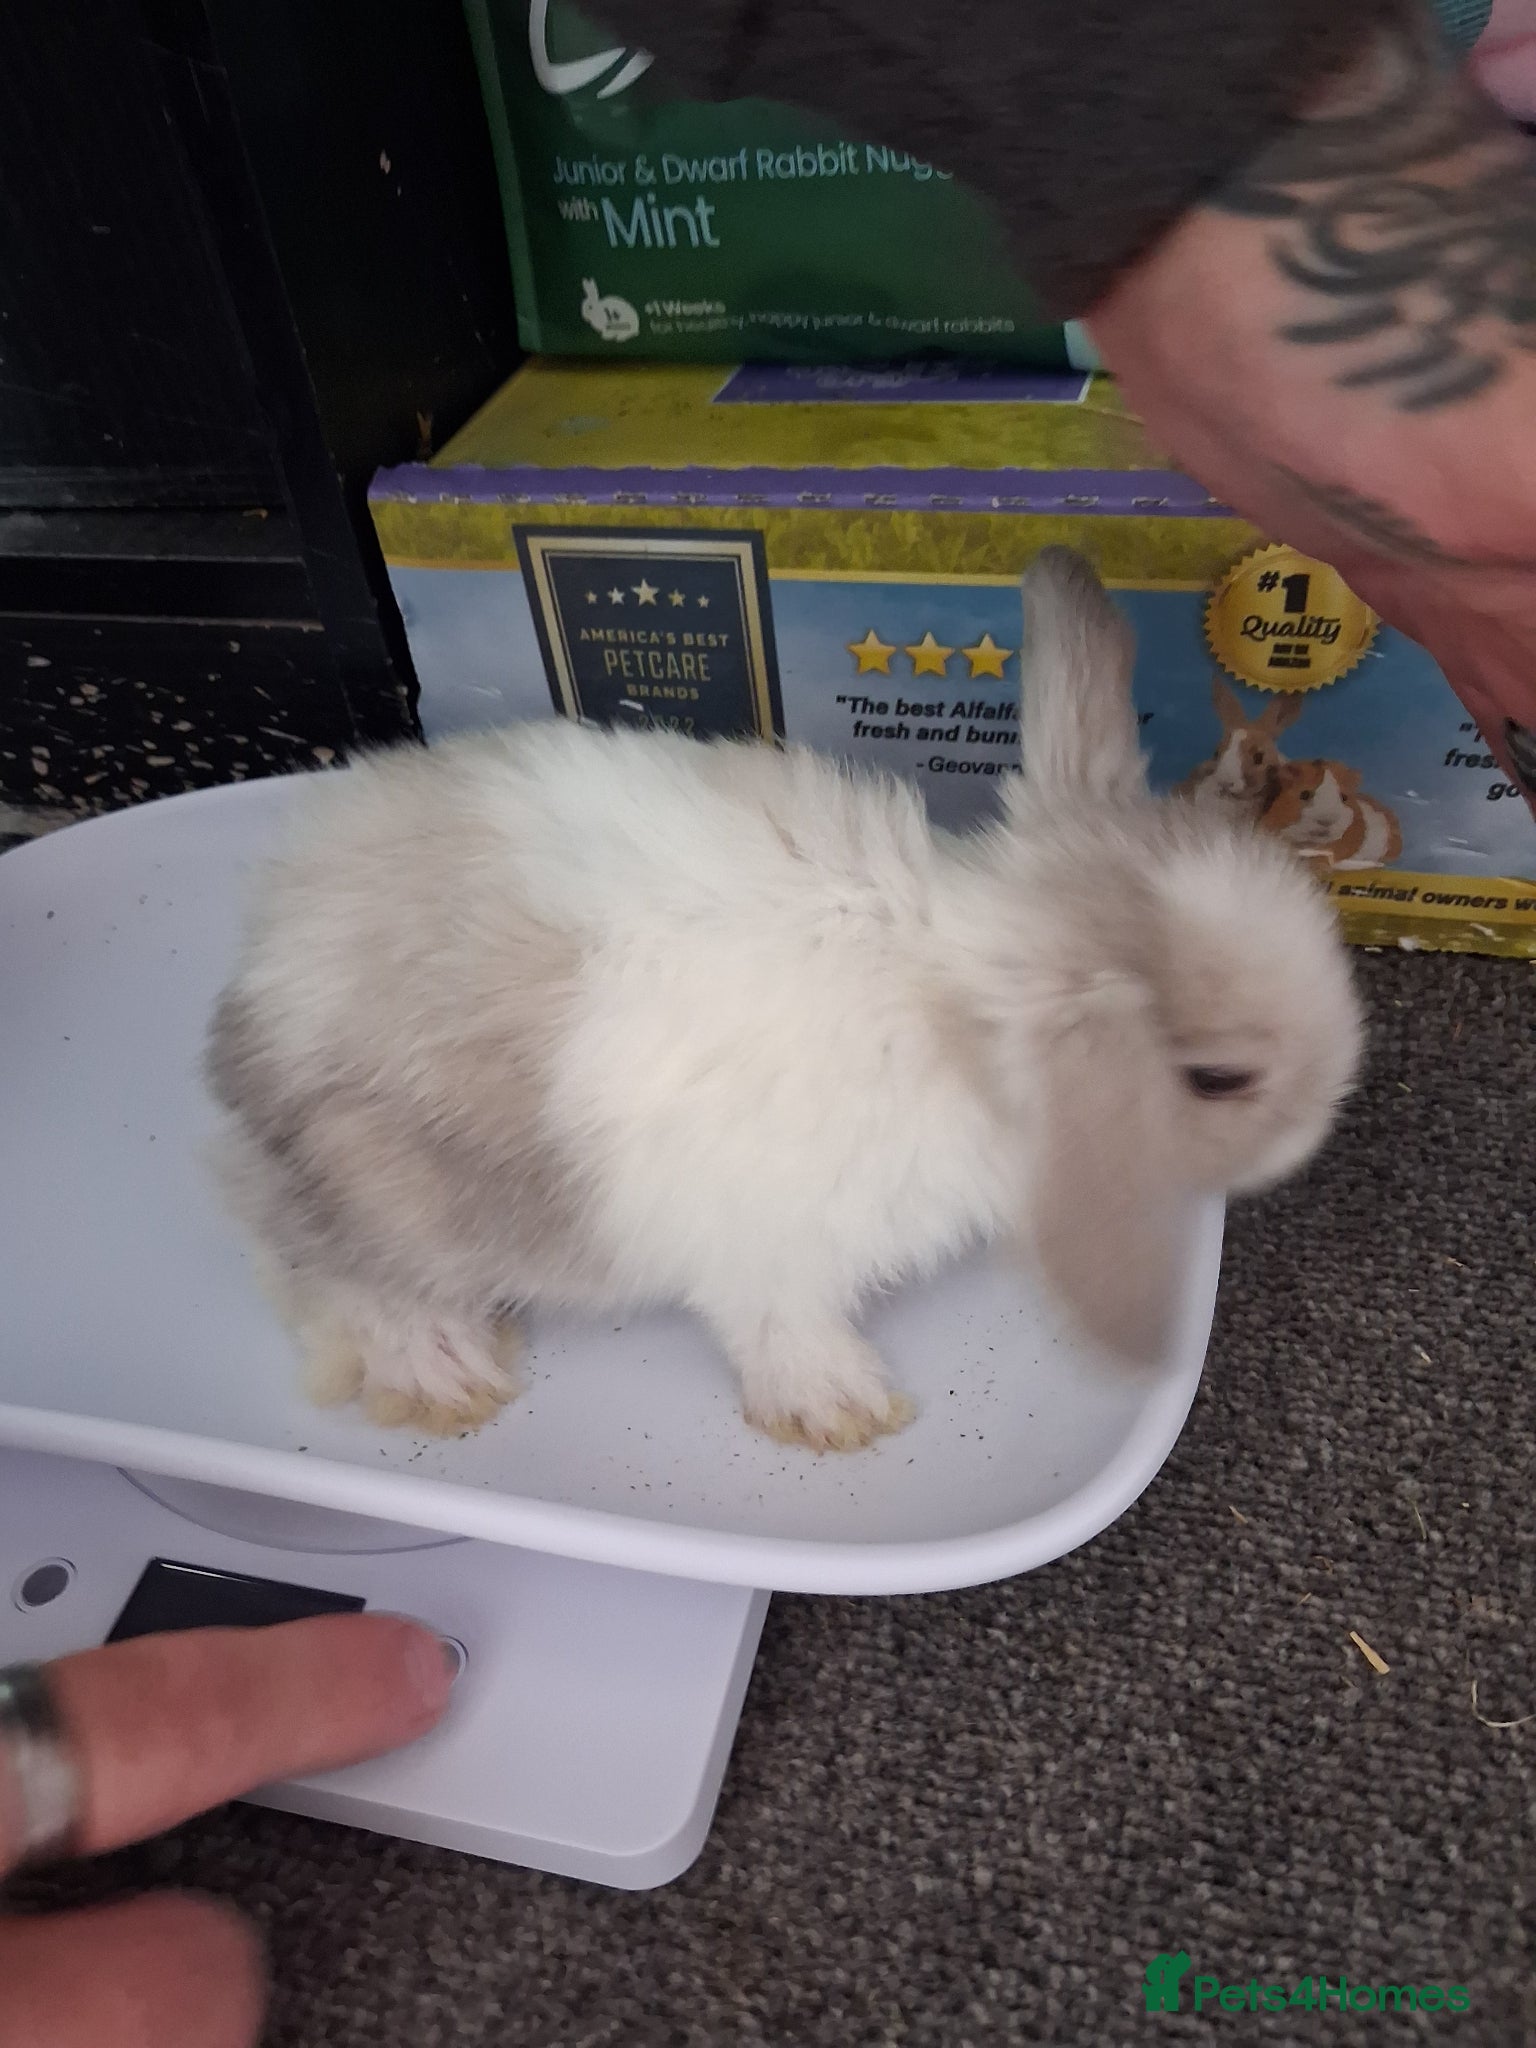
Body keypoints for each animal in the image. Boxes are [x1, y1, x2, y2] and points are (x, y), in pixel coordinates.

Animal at [206, 548, 1363, 1453]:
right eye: (1219, 1079)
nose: (1312, 1139)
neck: (956, 1004)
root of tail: (248, 999)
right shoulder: (769, 1249)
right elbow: (780, 1327)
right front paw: (842, 1411)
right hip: (385, 1187)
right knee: (321, 1274)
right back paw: (444, 1369)